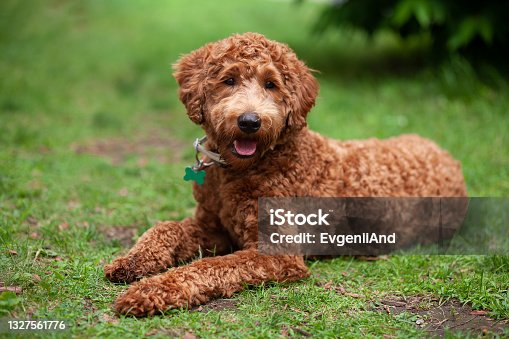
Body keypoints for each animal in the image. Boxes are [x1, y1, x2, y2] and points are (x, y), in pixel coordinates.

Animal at [103, 33, 464, 318]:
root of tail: (444, 154)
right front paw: (131, 261)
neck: (247, 168)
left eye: (271, 84)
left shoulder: (275, 252)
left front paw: (150, 291)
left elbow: (210, 266)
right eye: (229, 80)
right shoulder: (212, 226)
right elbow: (165, 228)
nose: (250, 121)